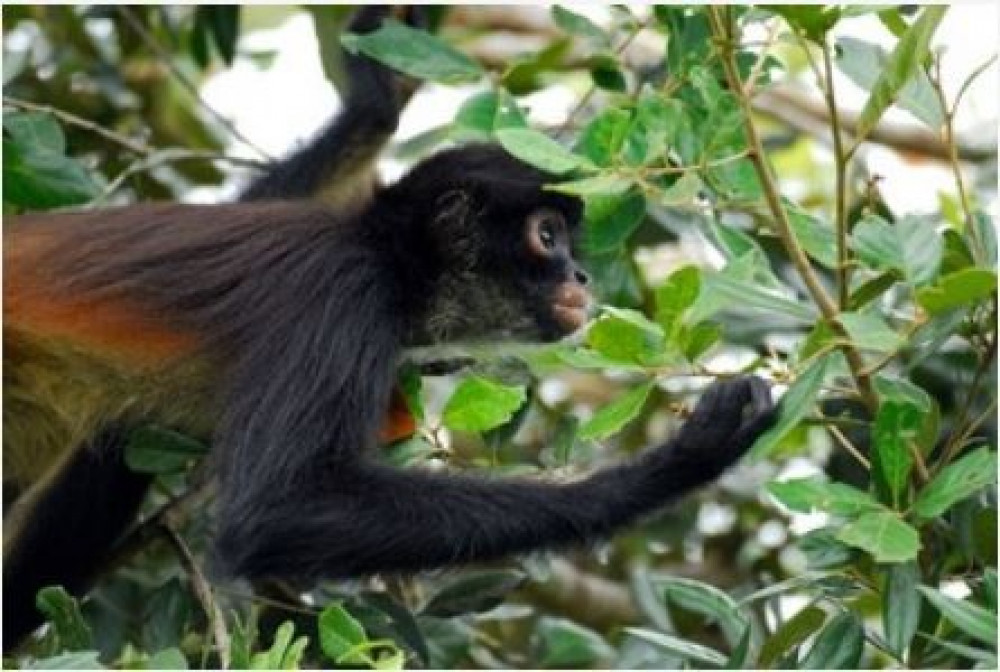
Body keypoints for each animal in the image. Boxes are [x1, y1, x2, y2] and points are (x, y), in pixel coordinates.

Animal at [3, 3, 776, 644]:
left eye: (567, 244)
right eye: (548, 236)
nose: (581, 280)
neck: (389, 259)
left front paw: (377, 93)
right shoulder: (343, 298)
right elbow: (274, 512)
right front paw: (673, 466)